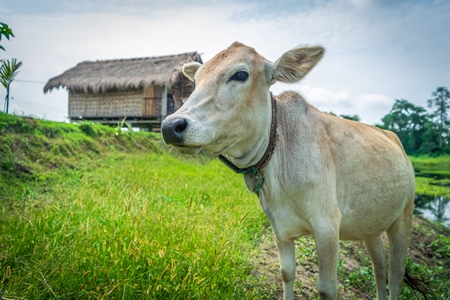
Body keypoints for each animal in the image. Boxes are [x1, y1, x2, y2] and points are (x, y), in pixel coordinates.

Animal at [161, 42, 426, 300]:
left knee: (395, 272)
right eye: (196, 81)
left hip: (404, 216)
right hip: (371, 225)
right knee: (379, 264)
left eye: (240, 74)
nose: (171, 126)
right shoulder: (280, 226)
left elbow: (326, 288)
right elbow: (287, 273)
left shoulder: (328, 226)